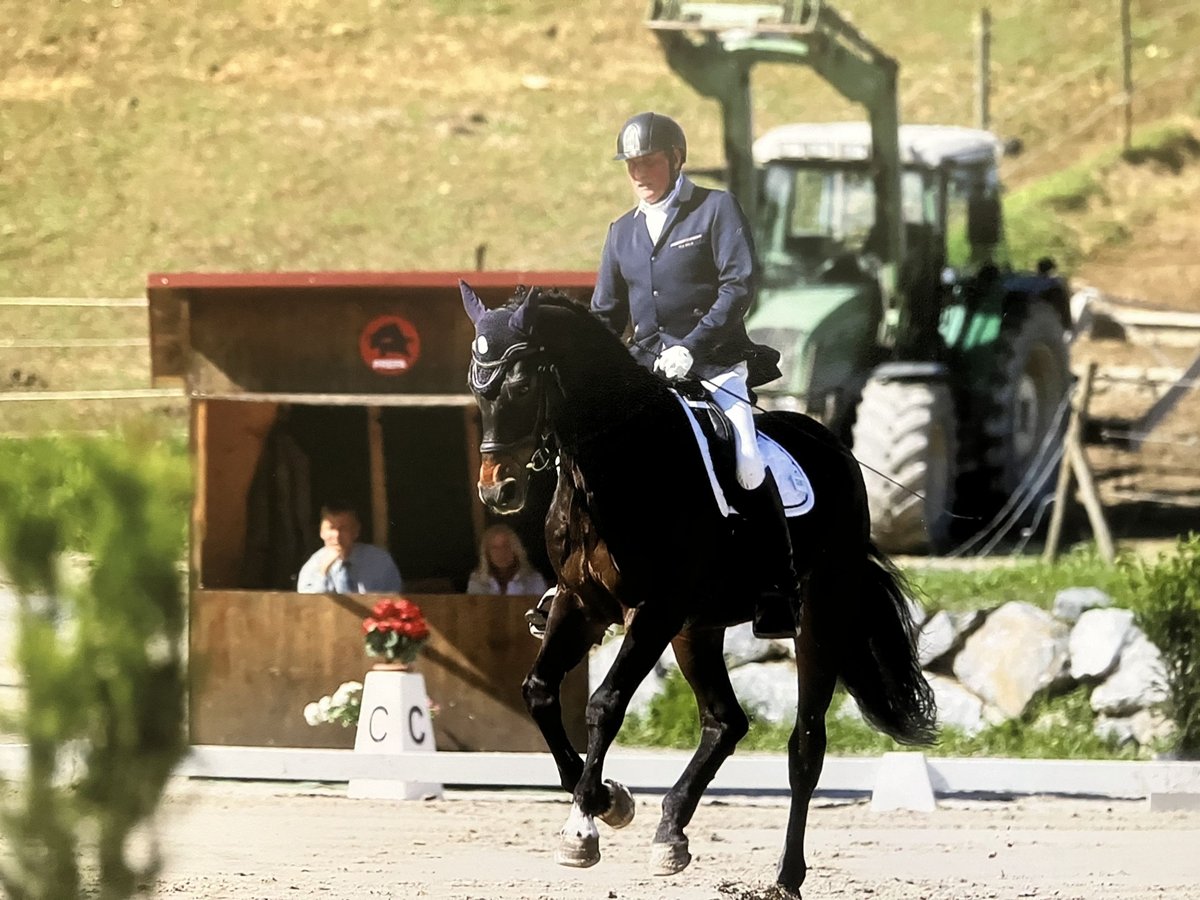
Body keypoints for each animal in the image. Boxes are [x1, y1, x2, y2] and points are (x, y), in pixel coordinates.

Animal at [458, 280, 936, 897]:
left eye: (519, 382)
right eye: (477, 386)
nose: (499, 492)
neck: (615, 465)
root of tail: (833, 446)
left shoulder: (654, 611)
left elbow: (604, 704)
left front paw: (584, 827)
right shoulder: (580, 603)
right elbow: (538, 691)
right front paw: (609, 801)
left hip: (817, 620)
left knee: (805, 745)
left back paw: (785, 876)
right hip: (698, 629)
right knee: (726, 721)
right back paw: (671, 831)